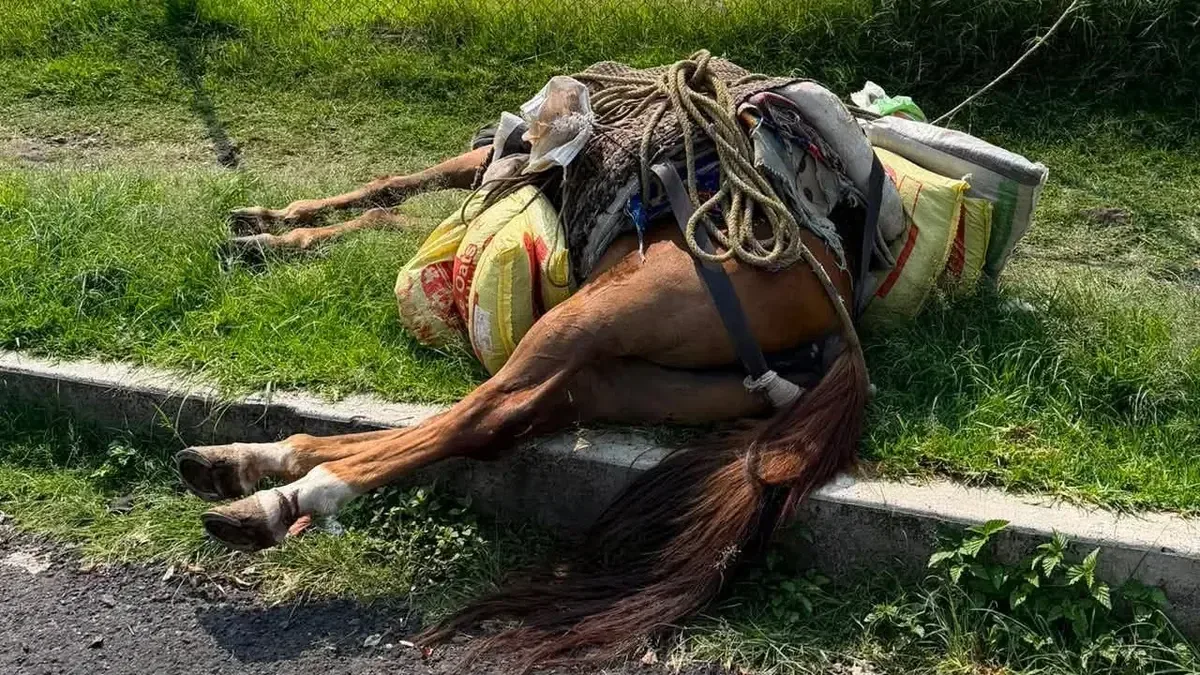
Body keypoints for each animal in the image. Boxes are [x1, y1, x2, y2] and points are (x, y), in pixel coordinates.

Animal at [176, 58, 876, 672]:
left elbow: (384, 201)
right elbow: (387, 197)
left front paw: (265, 236)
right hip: (633, 380)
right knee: (502, 419)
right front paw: (266, 226)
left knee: (482, 411)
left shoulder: (481, 183)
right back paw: (244, 463)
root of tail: (836, 314)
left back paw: (283, 496)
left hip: (586, 319)